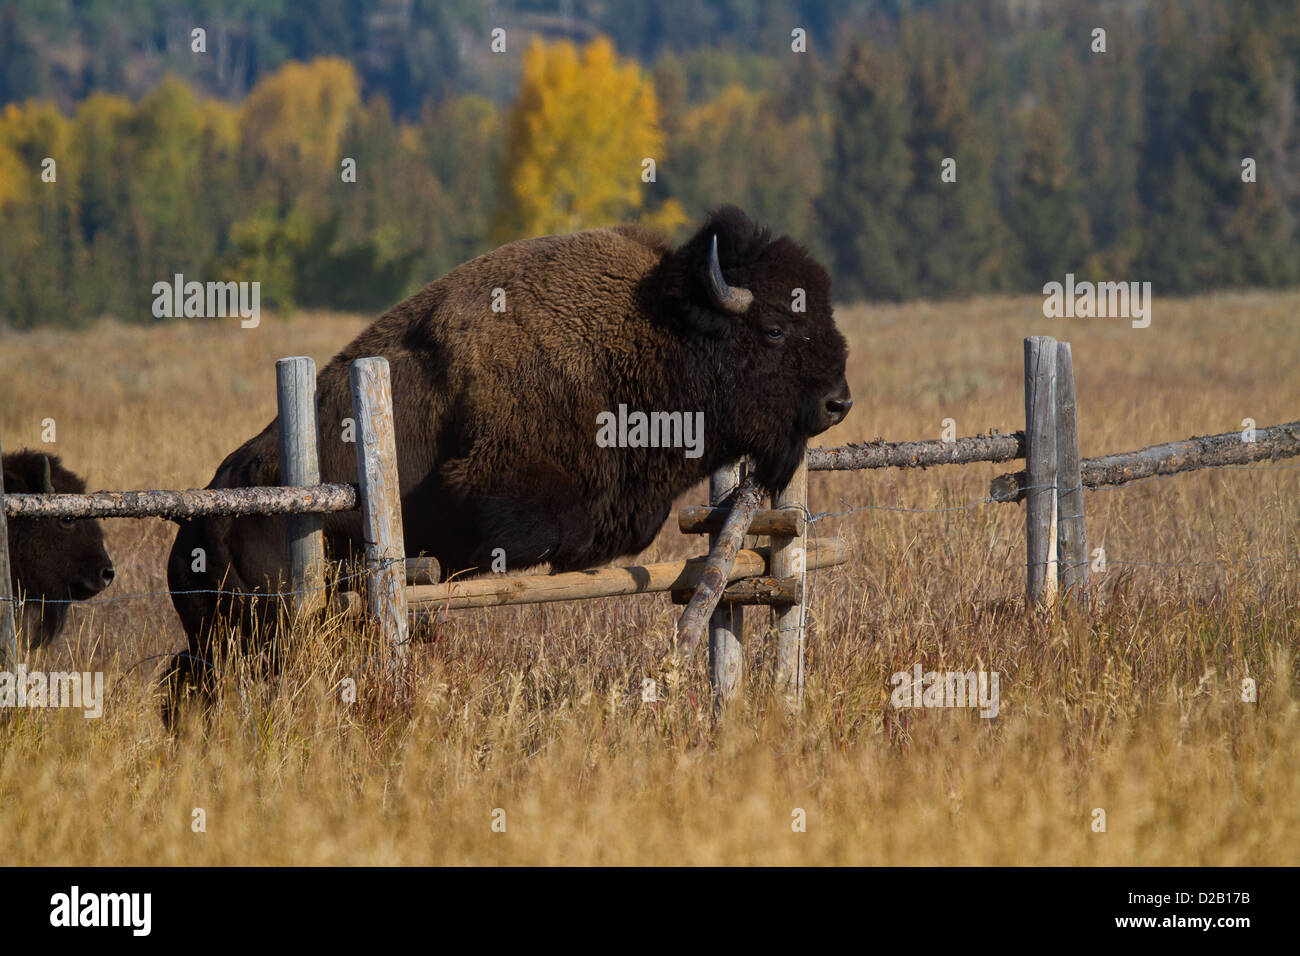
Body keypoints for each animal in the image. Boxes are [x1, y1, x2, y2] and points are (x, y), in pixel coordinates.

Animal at [162, 205, 852, 723]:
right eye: (773, 330)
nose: (837, 401)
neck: (655, 332)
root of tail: (201, 520)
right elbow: (543, 534)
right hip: (259, 630)